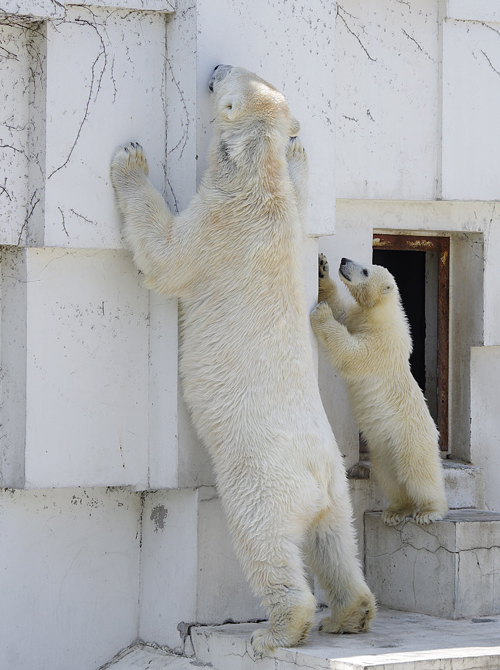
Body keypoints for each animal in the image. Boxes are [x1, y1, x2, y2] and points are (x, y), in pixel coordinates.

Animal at [110, 67, 376, 656]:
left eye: (225, 77)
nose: (212, 68)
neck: (254, 180)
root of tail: (314, 471)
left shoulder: (216, 227)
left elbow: (164, 256)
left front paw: (130, 159)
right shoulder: (286, 217)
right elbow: (301, 194)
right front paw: (298, 148)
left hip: (261, 478)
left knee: (265, 540)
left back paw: (278, 629)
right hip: (336, 484)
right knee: (337, 540)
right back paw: (351, 613)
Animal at [310, 255, 448, 528]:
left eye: (365, 270)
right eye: (360, 263)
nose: (344, 260)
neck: (380, 316)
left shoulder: (380, 345)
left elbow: (351, 354)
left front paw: (322, 313)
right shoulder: (358, 318)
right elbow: (342, 311)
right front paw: (321, 270)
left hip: (411, 439)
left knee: (419, 472)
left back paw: (430, 511)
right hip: (385, 448)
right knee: (389, 476)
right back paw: (396, 511)